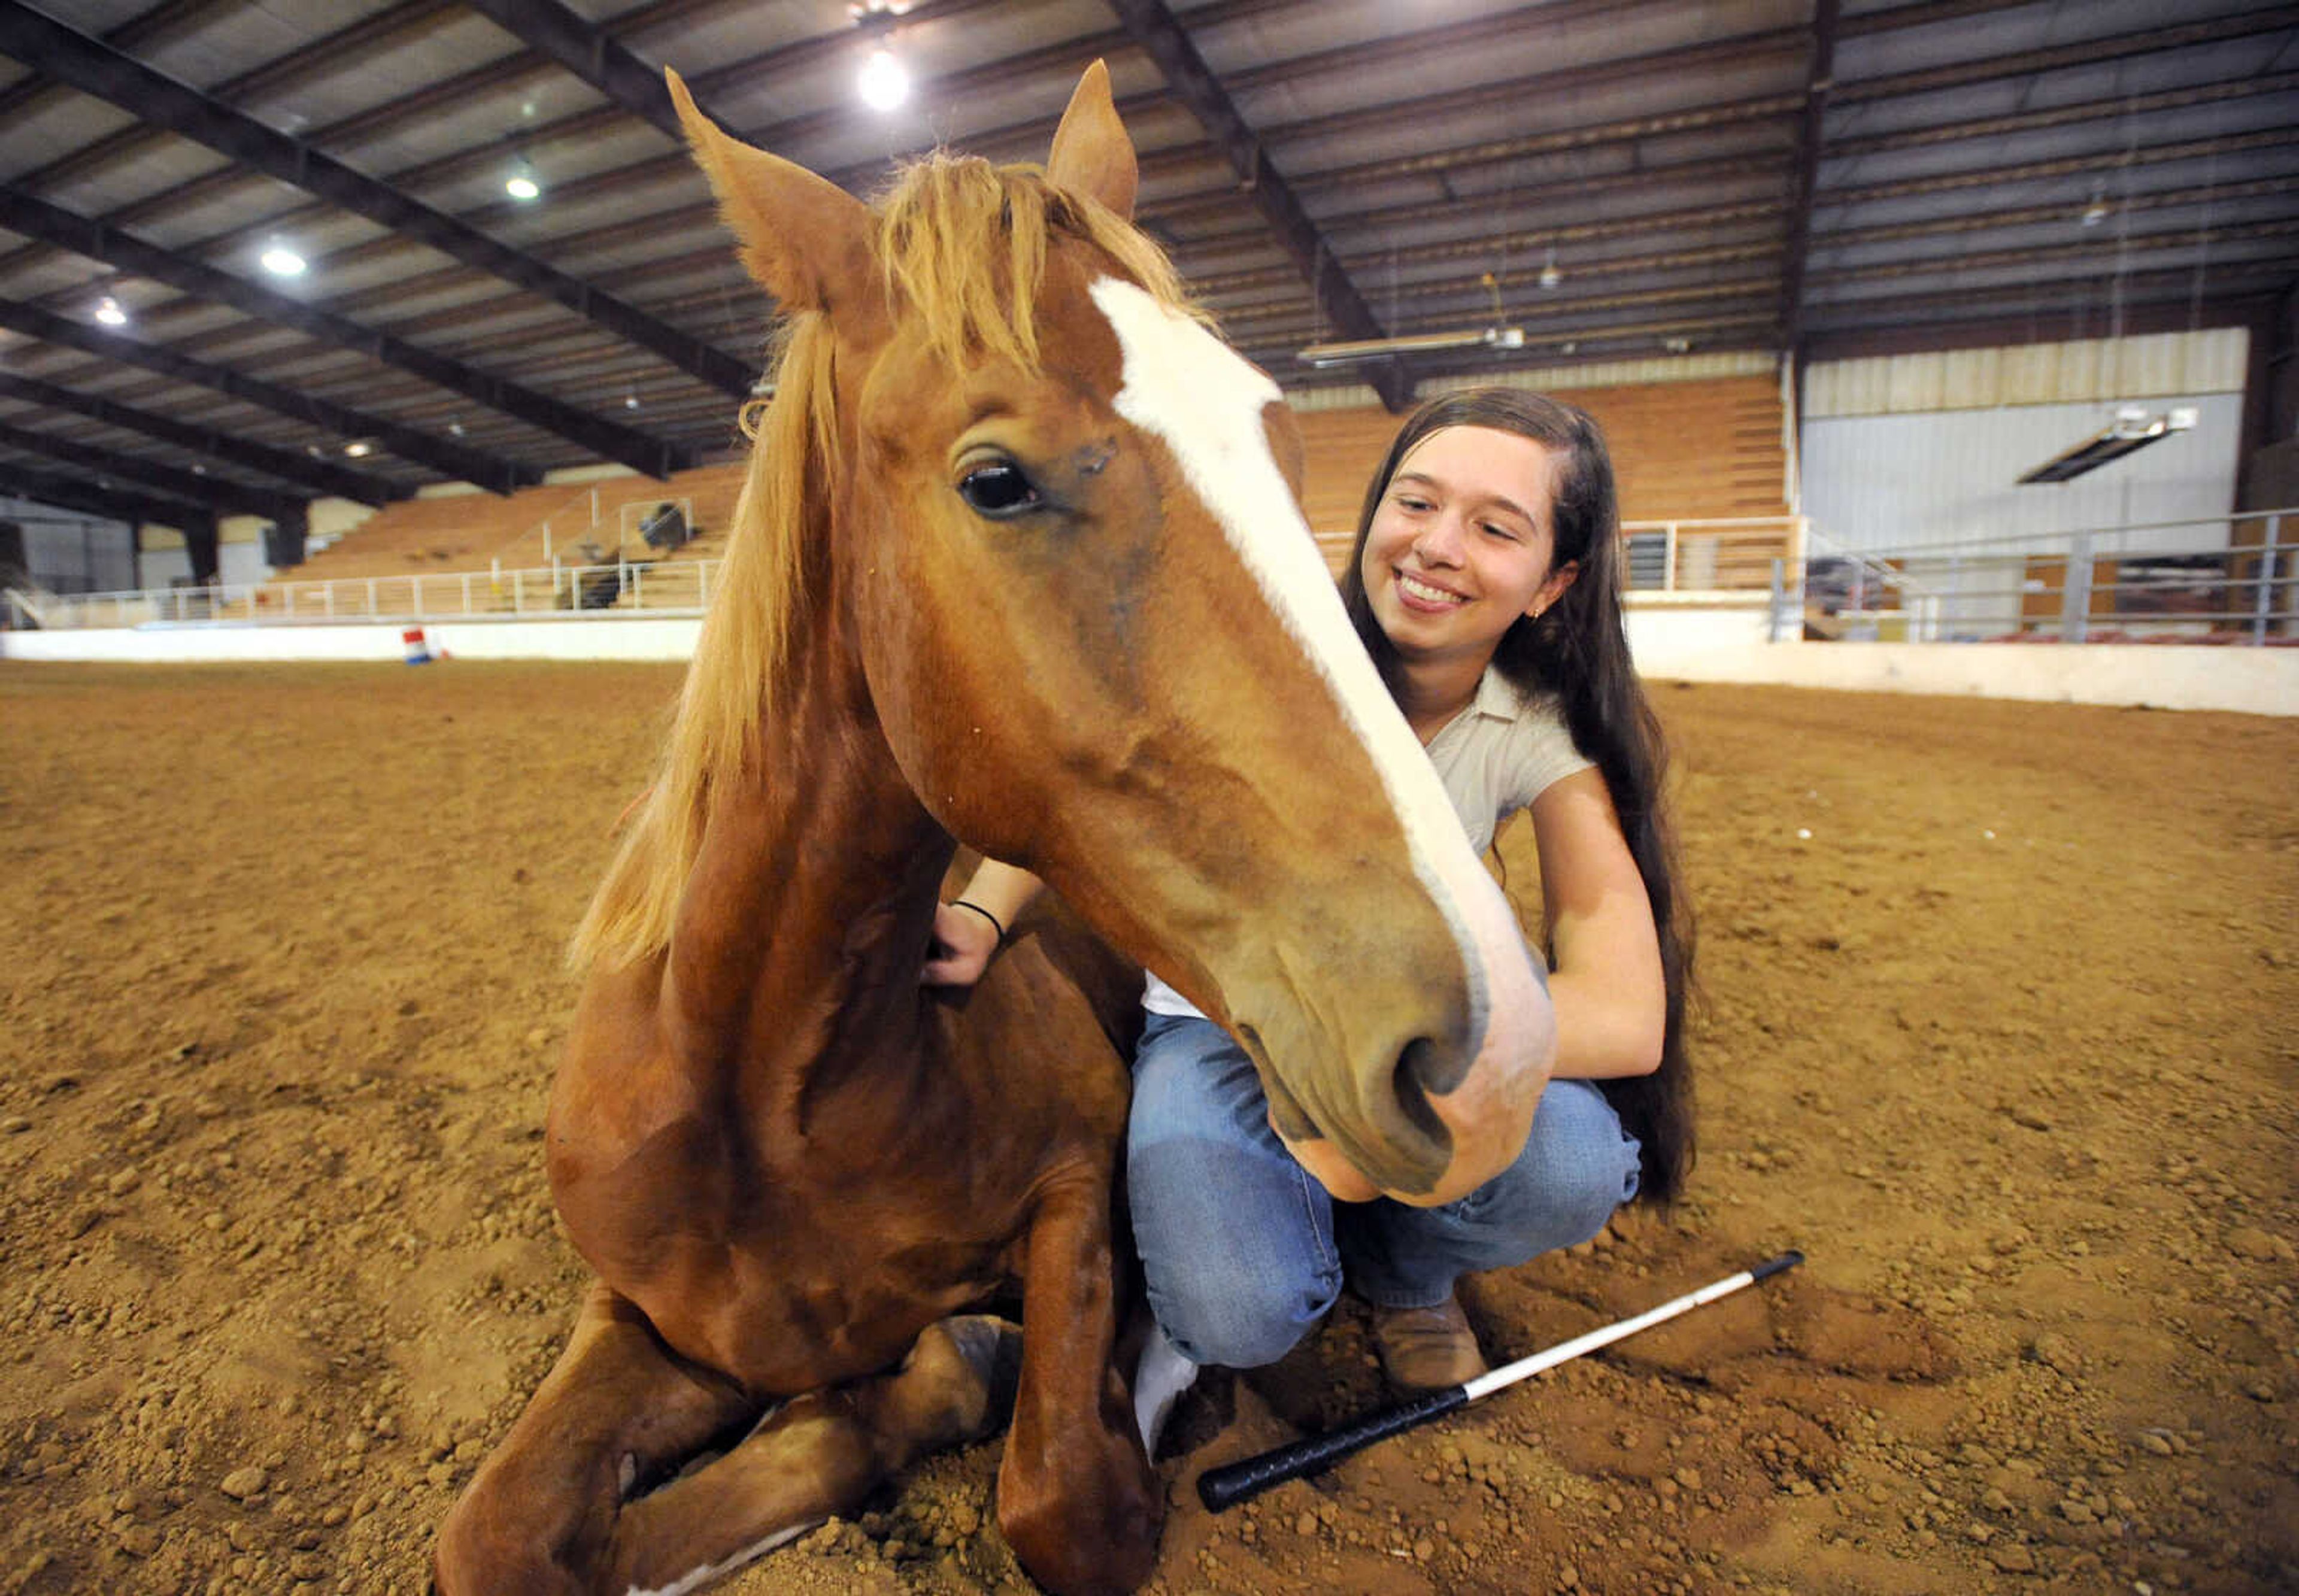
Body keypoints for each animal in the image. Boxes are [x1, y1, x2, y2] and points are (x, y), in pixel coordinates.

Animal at [434, 59, 1545, 1596]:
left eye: (1277, 435)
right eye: (996, 480)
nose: (1489, 1046)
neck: (762, 1093)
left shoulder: (1079, 1185)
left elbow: (1056, 1490)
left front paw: (939, 1378)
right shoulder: (641, 1308)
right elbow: (497, 1530)